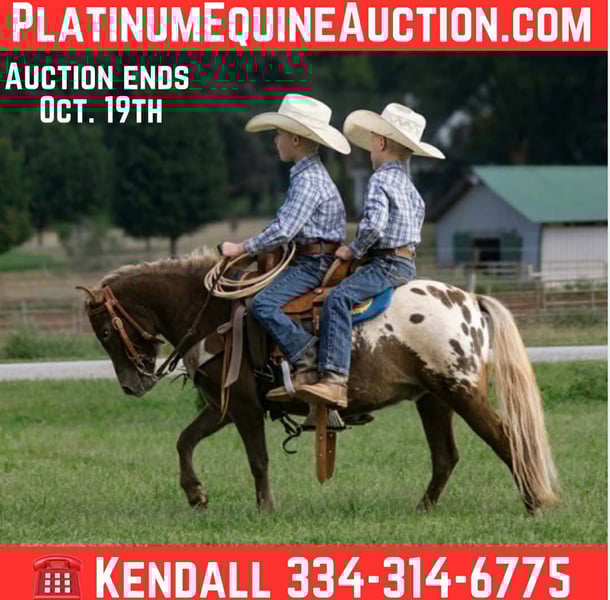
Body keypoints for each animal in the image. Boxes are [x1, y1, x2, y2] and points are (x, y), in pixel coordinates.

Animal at [78, 252, 559, 515]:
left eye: (104, 331)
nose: (132, 386)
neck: (216, 313)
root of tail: (469, 301)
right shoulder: (222, 407)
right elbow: (185, 440)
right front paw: (196, 495)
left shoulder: (245, 407)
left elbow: (257, 459)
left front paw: (265, 508)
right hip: (433, 399)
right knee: (445, 457)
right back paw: (423, 509)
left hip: (462, 392)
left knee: (505, 439)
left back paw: (534, 502)